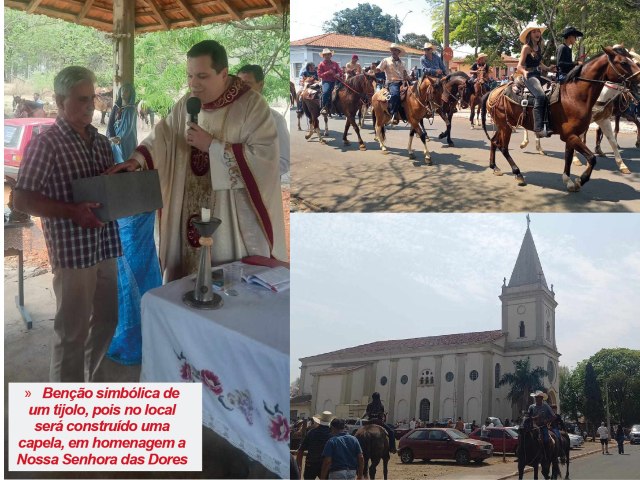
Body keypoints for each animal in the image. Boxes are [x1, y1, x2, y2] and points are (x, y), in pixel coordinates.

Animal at [484, 47, 640, 191]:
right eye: (624, 62)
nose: (639, 79)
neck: (574, 95)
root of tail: (494, 91)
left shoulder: (574, 135)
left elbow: (569, 157)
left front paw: (568, 180)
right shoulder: (570, 135)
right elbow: (591, 158)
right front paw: (580, 180)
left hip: (504, 125)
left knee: (494, 141)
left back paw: (495, 167)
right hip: (505, 126)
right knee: (503, 147)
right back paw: (518, 173)